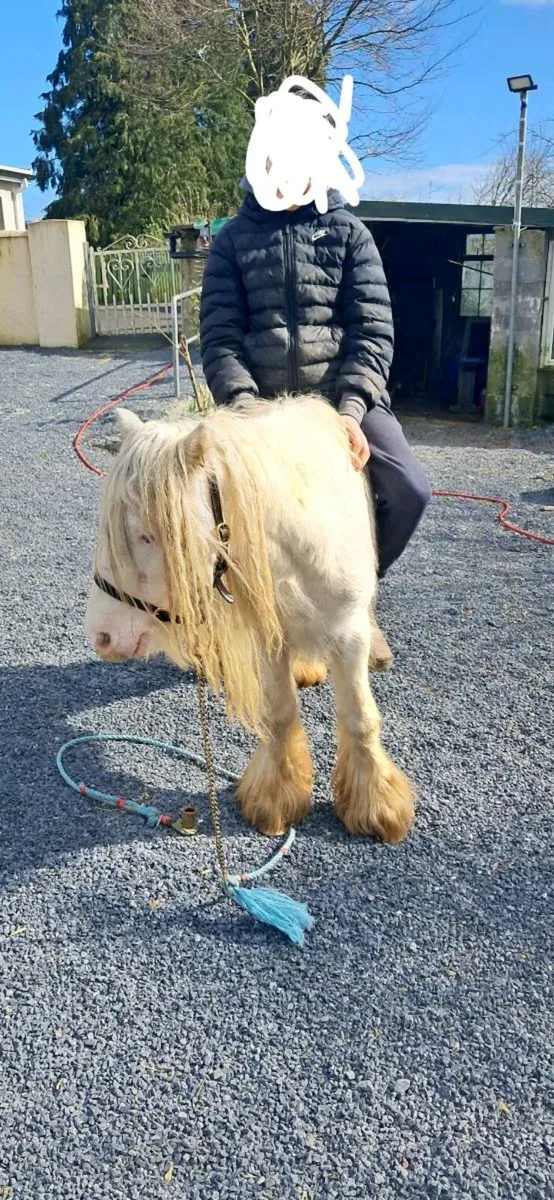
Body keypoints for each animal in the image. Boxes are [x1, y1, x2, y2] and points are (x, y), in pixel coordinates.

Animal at [85, 394, 416, 844]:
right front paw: (276, 796)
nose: (101, 635)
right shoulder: (268, 636)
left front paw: (377, 807)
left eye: (148, 535)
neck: (298, 540)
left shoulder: (349, 634)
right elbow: (278, 713)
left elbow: (360, 717)